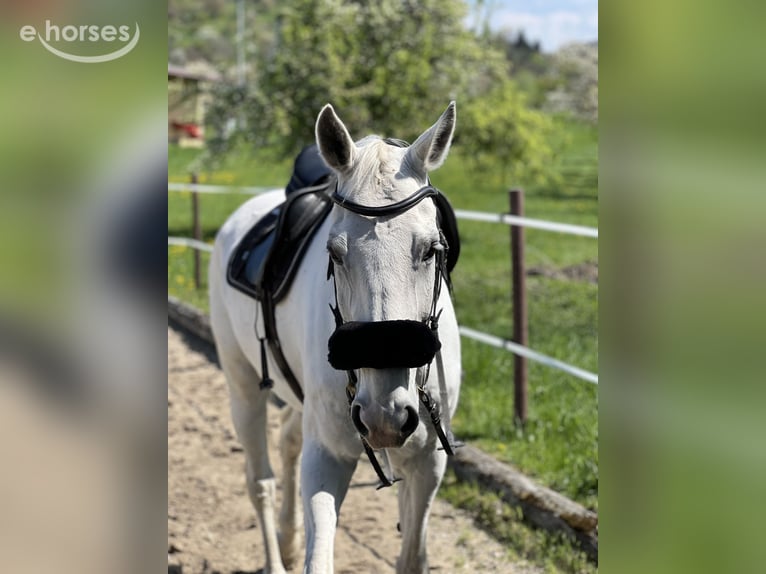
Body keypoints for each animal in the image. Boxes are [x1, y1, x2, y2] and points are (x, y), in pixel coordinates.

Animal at [208, 102, 461, 574]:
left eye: (431, 250)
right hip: (242, 386)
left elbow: (412, 556)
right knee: (260, 482)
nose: (383, 416)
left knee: (288, 440)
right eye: (335, 253)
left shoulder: (428, 461)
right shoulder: (326, 456)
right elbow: (318, 557)